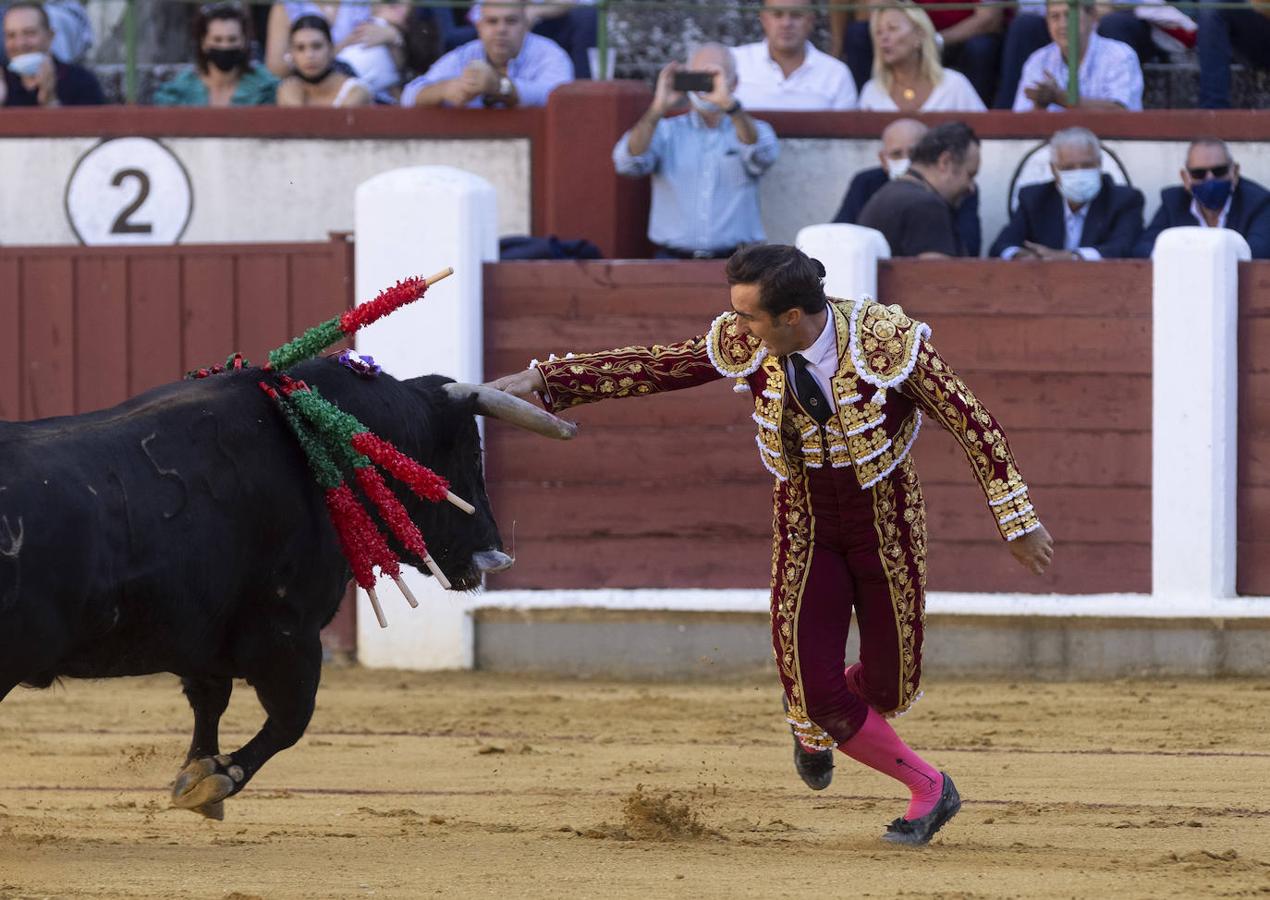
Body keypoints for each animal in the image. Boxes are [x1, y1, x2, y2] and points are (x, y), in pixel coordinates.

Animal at [0, 355, 571, 817]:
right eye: (470, 454)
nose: (494, 552)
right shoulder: (288, 633)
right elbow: (292, 718)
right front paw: (216, 781)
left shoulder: (207, 638)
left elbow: (211, 702)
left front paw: (197, 772)